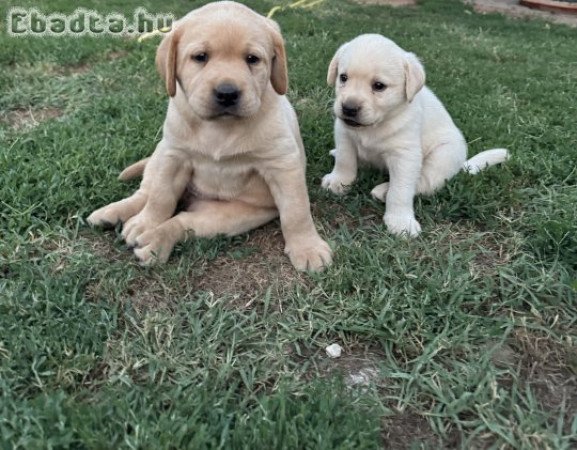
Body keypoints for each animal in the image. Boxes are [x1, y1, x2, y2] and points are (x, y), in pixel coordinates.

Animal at [85, 1, 330, 270]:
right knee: (146, 193)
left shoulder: (283, 164)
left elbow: (296, 211)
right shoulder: (173, 157)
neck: (219, 128)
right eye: (200, 57)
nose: (227, 93)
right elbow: (160, 197)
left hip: (230, 216)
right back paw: (117, 215)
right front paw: (146, 221)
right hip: (160, 154)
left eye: (252, 59)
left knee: (182, 221)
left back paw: (155, 242)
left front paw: (307, 247)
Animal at [322, 33, 506, 237]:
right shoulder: (344, 135)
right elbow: (345, 161)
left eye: (379, 86)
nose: (348, 108)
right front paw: (338, 182)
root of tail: (461, 166)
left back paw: (383, 191)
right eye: (343, 77)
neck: (375, 126)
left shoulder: (405, 155)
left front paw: (400, 221)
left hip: (442, 158)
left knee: (422, 183)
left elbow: (401, 190)